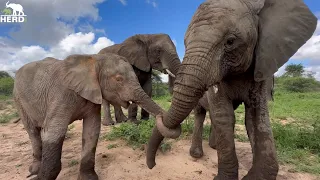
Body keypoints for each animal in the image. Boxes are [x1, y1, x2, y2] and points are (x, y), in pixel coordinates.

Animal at [12, 53, 164, 180]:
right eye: (118, 79)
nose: (152, 165)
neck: (93, 60)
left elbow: (92, 130)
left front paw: (88, 178)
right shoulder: (60, 94)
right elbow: (54, 132)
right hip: (18, 100)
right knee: (33, 132)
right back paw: (34, 171)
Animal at [146, 0, 316, 180]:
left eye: (230, 41)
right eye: (185, 43)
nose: (152, 165)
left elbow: (256, 117)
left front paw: (254, 176)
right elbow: (224, 115)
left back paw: (213, 146)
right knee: (201, 113)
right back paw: (197, 154)